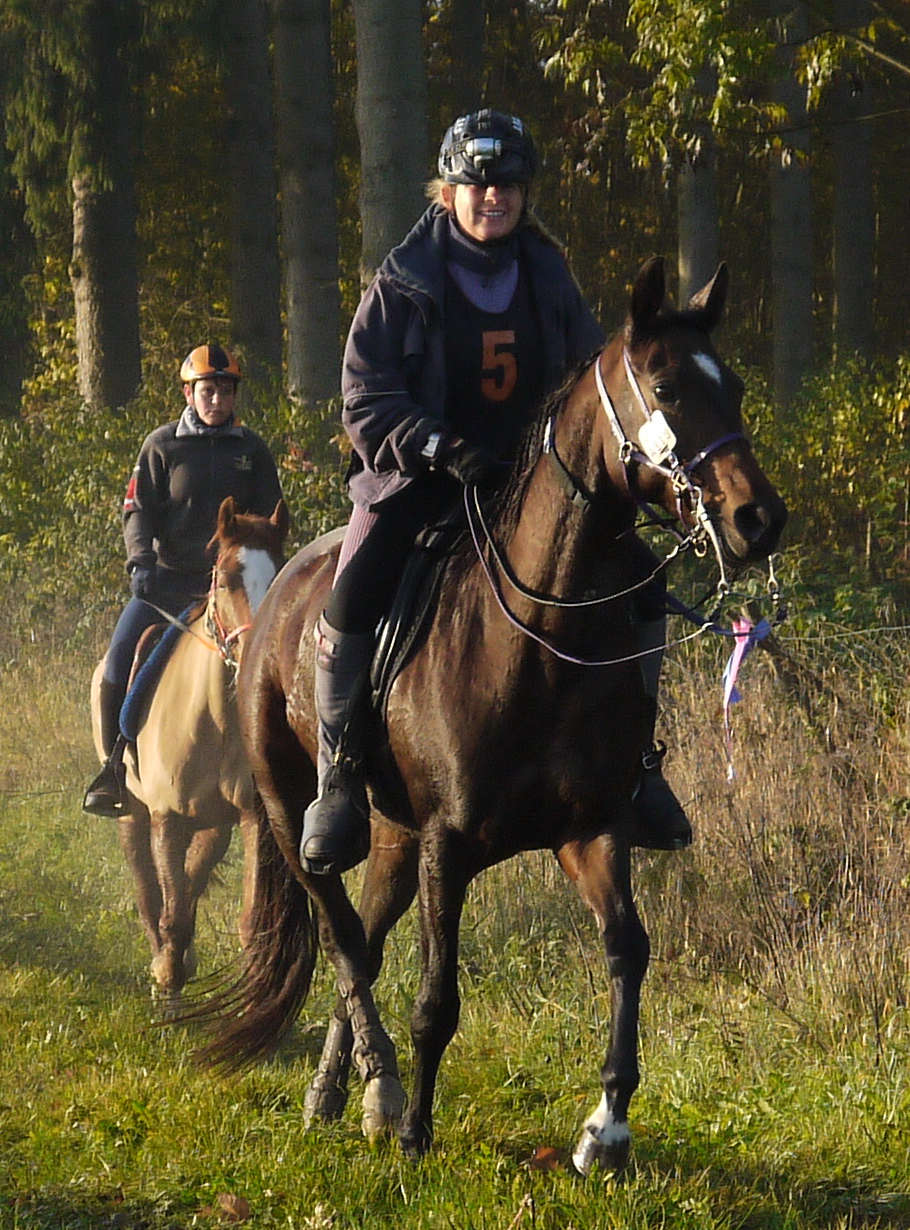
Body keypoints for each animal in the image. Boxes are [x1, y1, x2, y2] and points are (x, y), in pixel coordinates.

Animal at [89, 496, 287, 1008]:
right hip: (132, 812)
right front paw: (169, 992)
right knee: (148, 889)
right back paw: (162, 959)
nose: (257, 651)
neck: (214, 715)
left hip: (215, 822)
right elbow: (172, 913)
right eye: (228, 576)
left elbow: (246, 921)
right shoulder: (167, 817)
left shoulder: (251, 818)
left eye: (278, 573)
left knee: (194, 875)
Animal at [195, 257, 787, 1170]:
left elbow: (629, 950)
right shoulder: (449, 845)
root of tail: (275, 602)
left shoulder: (592, 830)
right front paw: (414, 1134)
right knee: (339, 934)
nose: (759, 518)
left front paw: (607, 1126)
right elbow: (437, 998)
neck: (544, 636)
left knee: (366, 938)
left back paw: (337, 1091)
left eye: (736, 387)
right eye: (665, 386)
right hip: (293, 808)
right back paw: (381, 1086)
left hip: (394, 838)